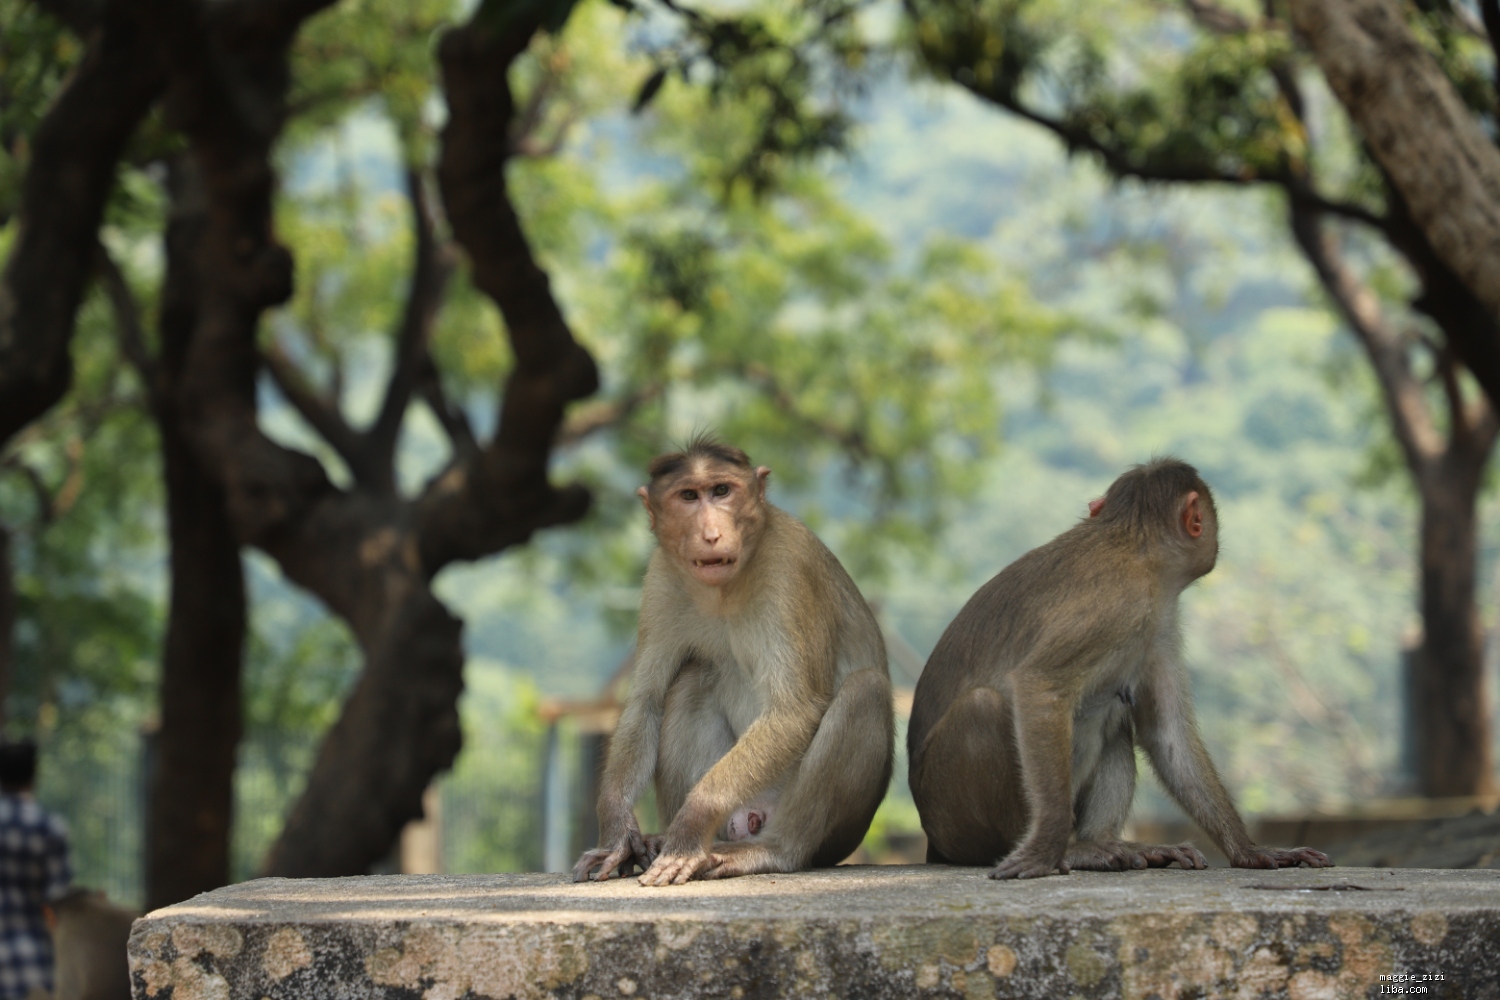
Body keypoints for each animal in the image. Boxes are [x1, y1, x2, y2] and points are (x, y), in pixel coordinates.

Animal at [576, 437, 894, 881]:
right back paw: (664, 838)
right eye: (689, 496)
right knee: (693, 676)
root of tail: (753, 817)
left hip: (829, 828)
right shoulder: (661, 577)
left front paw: (690, 827)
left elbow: (794, 709)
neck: (723, 591)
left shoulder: (789, 567)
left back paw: (773, 850)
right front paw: (617, 833)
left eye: (722, 491)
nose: (711, 533)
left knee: (866, 690)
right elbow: (645, 701)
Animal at [906, 458, 1332, 881]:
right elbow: (1041, 685)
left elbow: (1166, 734)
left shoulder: (1157, 630)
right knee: (983, 707)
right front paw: (1043, 850)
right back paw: (1072, 849)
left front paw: (1251, 850)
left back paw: (1105, 841)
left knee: (1111, 713)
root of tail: (932, 836)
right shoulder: (1125, 606)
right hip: (951, 818)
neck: (1135, 546)